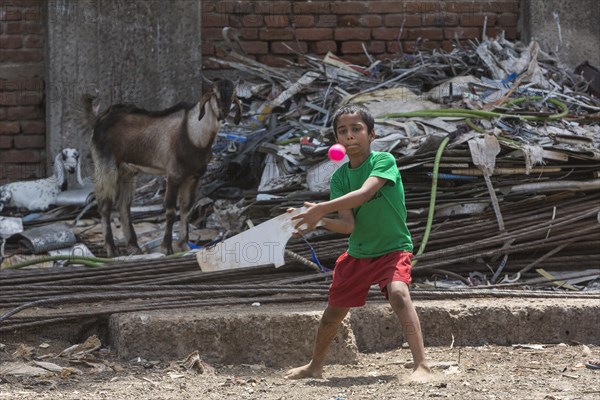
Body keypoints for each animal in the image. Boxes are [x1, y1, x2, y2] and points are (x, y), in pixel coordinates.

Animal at [87, 79, 241, 256]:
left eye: (233, 95)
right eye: (215, 94)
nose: (223, 112)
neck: (193, 134)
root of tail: (101, 119)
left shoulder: (194, 177)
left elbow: (186, 209)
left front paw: (184, 245)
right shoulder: (174, 174)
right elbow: (171, 210)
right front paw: (167, 247)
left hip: (128, 171)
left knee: (124, 205)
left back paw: (134, 247)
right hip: (106, 165)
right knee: (105, 205)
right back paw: (111, 250)